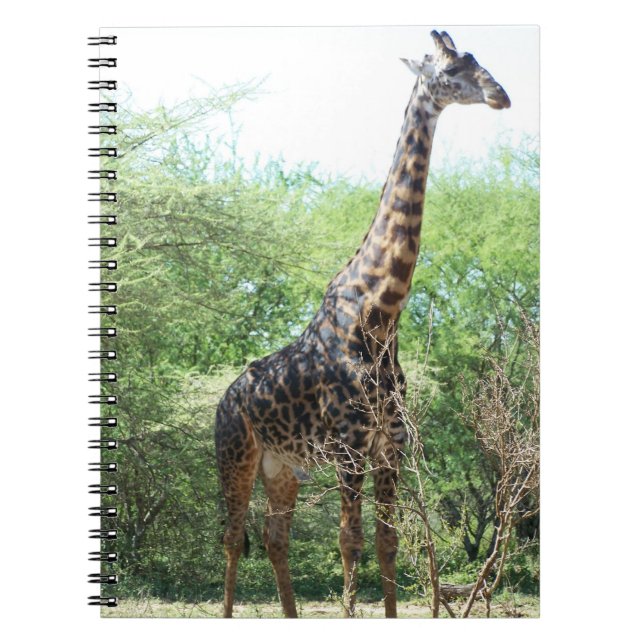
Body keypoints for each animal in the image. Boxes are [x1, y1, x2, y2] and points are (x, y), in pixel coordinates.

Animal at [215, 30, 510, 618]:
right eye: (449, 71)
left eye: (479, 61)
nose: (500, 95)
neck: (379, 314)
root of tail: (224, 399)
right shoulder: (349, 445)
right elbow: (349, 541)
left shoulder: (389, 444)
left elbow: (386, 541)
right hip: (235, 455)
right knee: (234, 537)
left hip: (282, 469)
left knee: (274, 537)